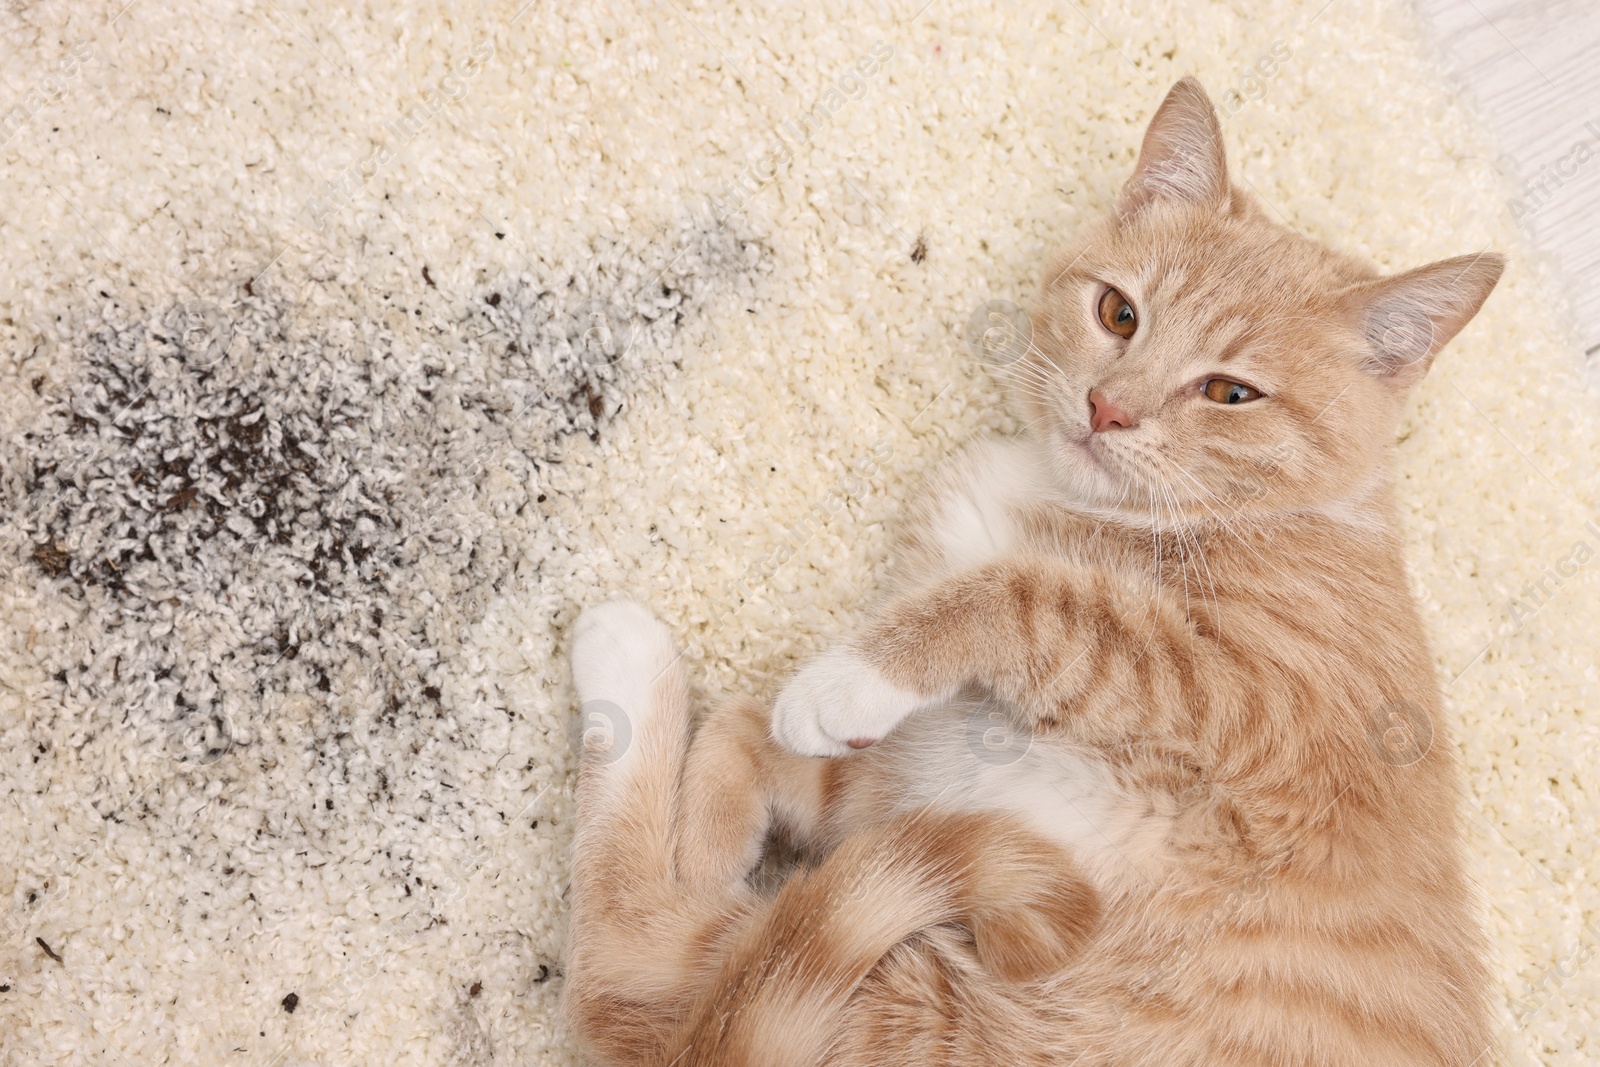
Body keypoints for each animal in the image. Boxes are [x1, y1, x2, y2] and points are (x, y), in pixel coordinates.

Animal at [563, 79, 1497, 1062]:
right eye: (1119, 313)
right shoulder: (894, 782)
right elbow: (756, 730)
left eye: (1229, 393)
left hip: (906, 1013)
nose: (1108, 407)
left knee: (636, 976)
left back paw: (623, 663)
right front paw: (718, 824)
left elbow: (1028, 597)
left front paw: (847, 680)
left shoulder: (1244, 693)